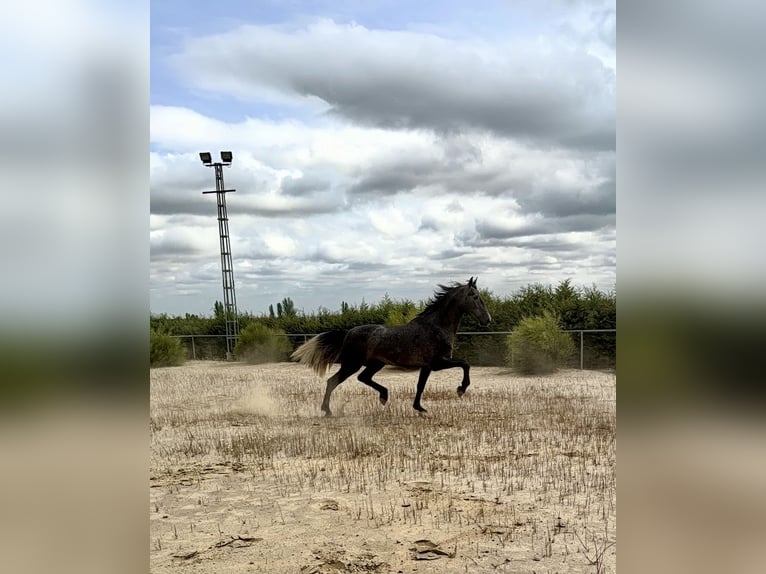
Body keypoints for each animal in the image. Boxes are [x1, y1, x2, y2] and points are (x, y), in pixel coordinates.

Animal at [291, 277, 492, 415]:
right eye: (475, 296)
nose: (487, 320)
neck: (436, 326)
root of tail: (348, 332)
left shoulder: (427, 366)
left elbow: (420, 386)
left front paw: (419, 408)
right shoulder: (437, 363)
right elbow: (465, 364)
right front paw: (461, 389)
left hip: (375, 363)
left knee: (363, 378)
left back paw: (383, 396)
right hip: (352, 364)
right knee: (332, 381)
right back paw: (328, 411)